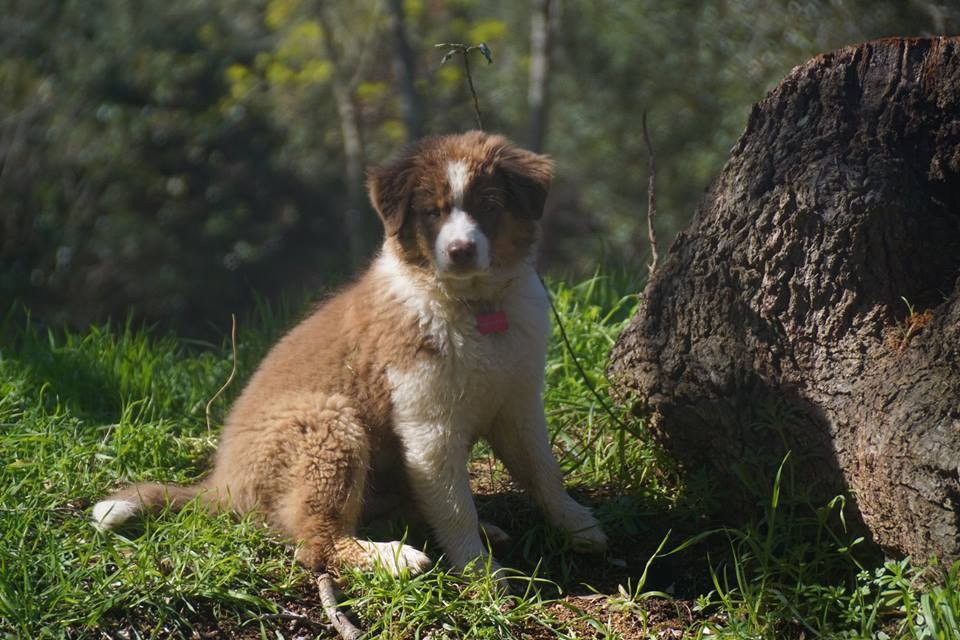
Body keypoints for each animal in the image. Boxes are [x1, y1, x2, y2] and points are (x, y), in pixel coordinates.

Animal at [92, 130, 608, 576]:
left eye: (489, 206)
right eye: (432, 212)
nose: (461, 250)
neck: (476, 307)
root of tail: (222, 484)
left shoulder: (518, 400)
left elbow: (543, 471)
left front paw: (578, 526)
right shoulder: (429, 424)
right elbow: (454, 504)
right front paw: (482, 575)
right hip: (328, 424)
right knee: (316, 541)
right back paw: (394, 558)